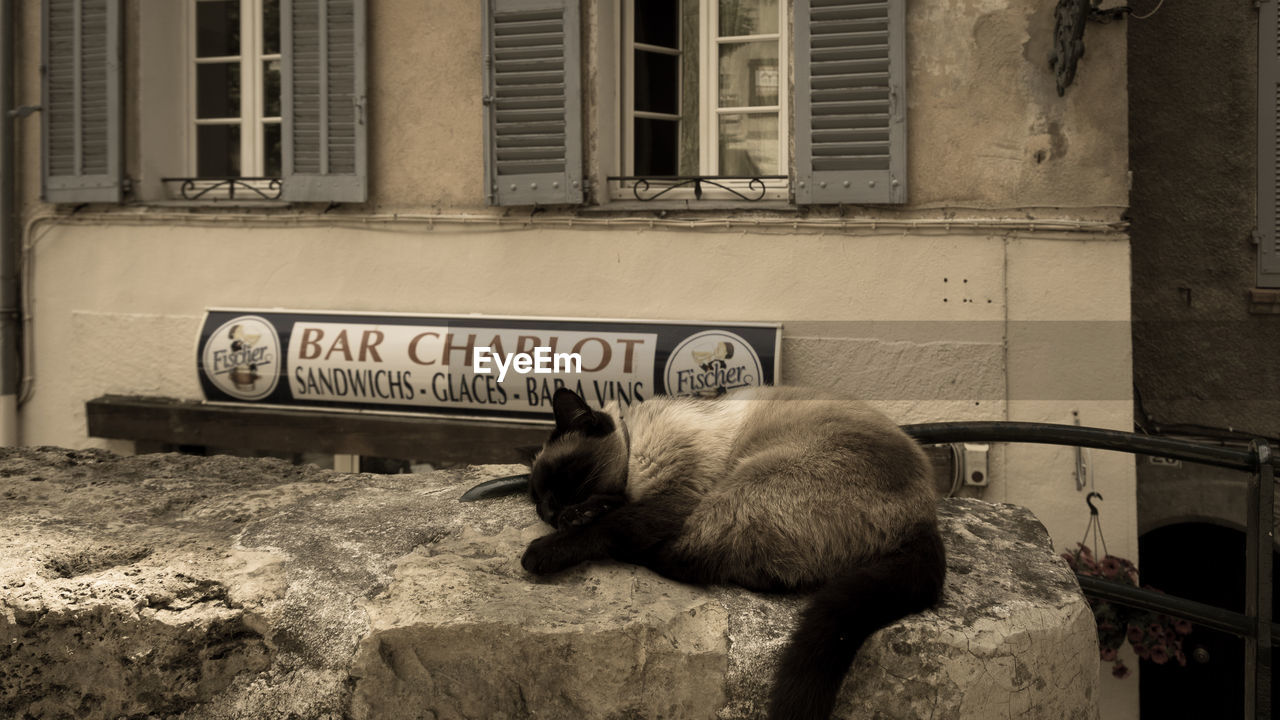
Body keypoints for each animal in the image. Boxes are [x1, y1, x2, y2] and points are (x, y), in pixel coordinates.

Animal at [522, 386, 952, 717]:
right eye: (536, 498)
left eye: (560, 477)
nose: (549, 512)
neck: (636, 440)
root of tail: (925, 519)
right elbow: (613, 513)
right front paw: (583, 515)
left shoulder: (671, 501)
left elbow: (613, 526)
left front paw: (543, 550)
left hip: (747, 484)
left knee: (679, 558)